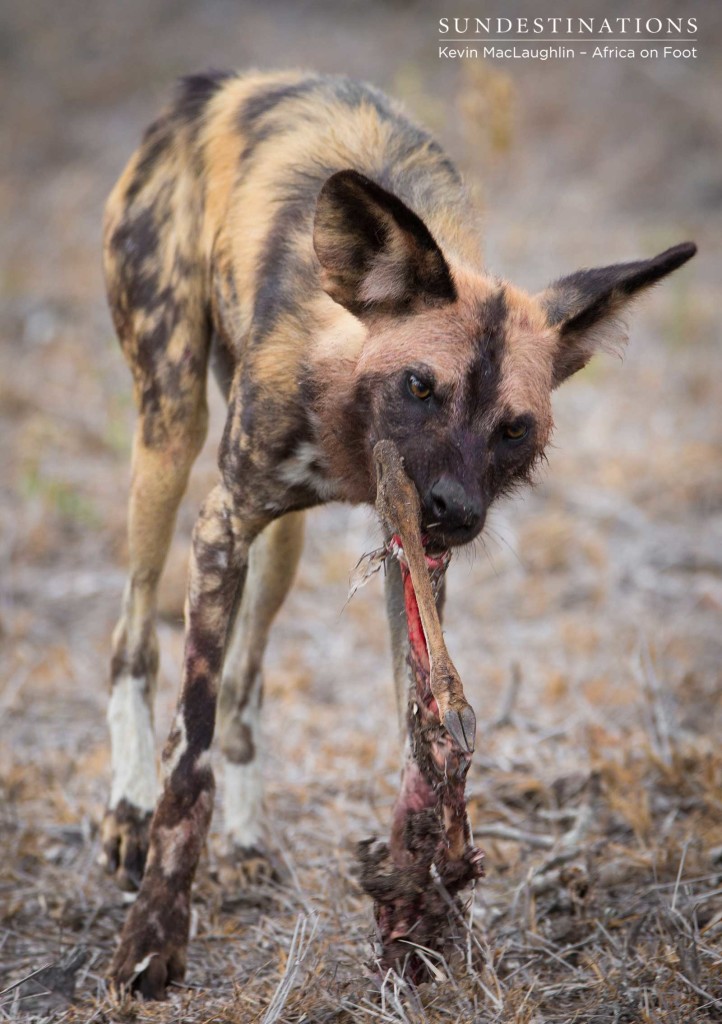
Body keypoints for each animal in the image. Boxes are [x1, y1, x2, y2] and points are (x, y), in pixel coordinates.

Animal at [101, 68, 692, 995]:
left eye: (514, 429)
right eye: (420, 385)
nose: (454, 511)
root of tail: (215, 86)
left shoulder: (407, 560)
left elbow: (415, 730)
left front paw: (419, 899)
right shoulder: (223, 525)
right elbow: (188, 753)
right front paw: (155, 937)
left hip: (280, 546)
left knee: (247, 680)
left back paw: (249, 839)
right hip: (170, 435)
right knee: (134, 636)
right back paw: (126, 811)